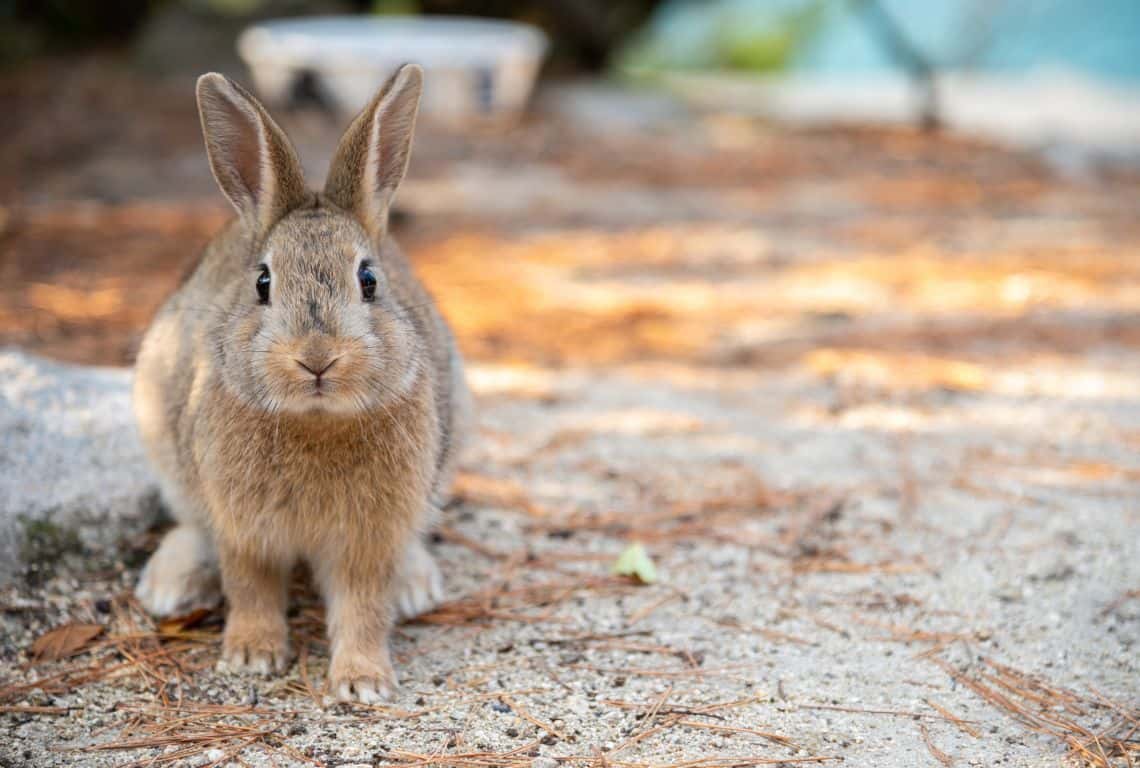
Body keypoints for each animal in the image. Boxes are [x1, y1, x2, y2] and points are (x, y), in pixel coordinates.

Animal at [134, 64, 471, 701]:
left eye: (368, 280)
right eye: (263, 283)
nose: (317, 358)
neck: (315, 423)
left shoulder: (370, 538)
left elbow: (363, 608)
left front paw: (364, 682)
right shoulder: (244, 530)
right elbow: (251, 589)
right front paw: (251, 656)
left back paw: (415, 587)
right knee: (189, 525)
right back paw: (167, 587)